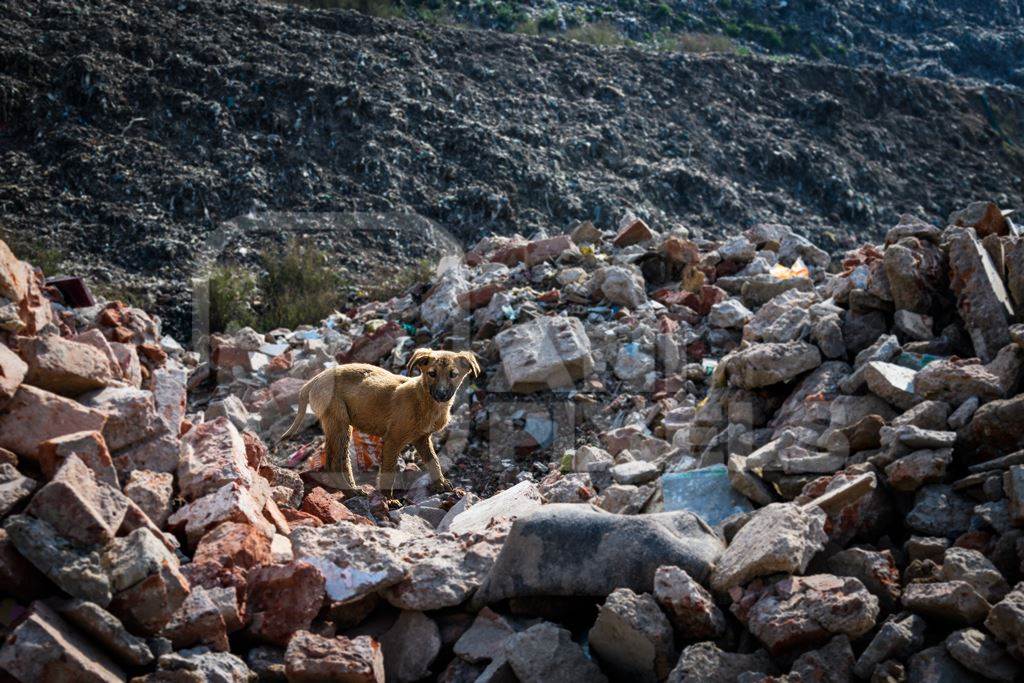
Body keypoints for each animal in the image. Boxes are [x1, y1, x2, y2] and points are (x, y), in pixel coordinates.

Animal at [278, 348, 481, 497]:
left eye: (453, 374)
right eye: (432, 373)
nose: (441, 394)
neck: (424, 400)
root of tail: (313, 380)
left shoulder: (422, 438)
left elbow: (434, 461)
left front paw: (441, 484)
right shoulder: (393, 439)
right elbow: (388, 470)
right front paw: (388, 500)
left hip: (339, 425)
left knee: (335, 460)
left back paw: (349, 488)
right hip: (339, 421)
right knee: (335, 462)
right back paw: (351, 491)